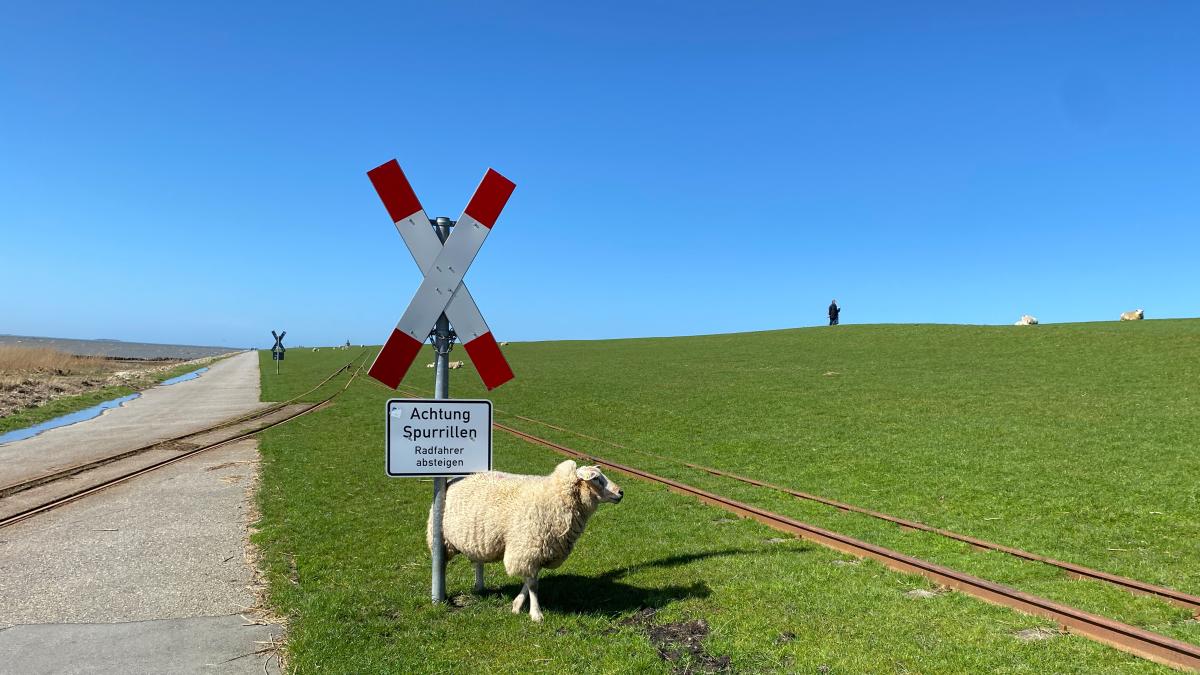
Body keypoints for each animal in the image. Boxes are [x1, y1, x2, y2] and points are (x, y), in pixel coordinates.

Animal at [427, 456, 624, 619]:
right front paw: (536, 614)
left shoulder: (538, 550)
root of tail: (453, 479)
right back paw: (441, 593)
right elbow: (533, 584)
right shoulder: (527, 547)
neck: (556, 496)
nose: (621, 492)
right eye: (596, 479)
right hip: (443, 540)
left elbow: (530, 580)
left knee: (477, 561)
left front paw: (517, 605)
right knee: (441, 563)